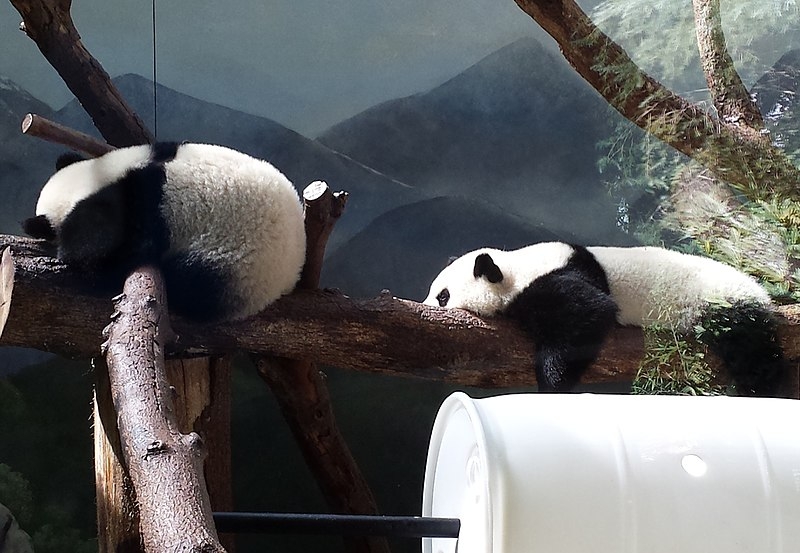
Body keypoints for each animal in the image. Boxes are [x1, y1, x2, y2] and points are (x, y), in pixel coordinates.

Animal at [422, 240, 784, 392]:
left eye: (443, 296)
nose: (424, 306)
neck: (515, 267)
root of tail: (761, 292)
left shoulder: (556, 278)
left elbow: (591, 312)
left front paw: (552, 383)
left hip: (720, 305)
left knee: (752, 352)